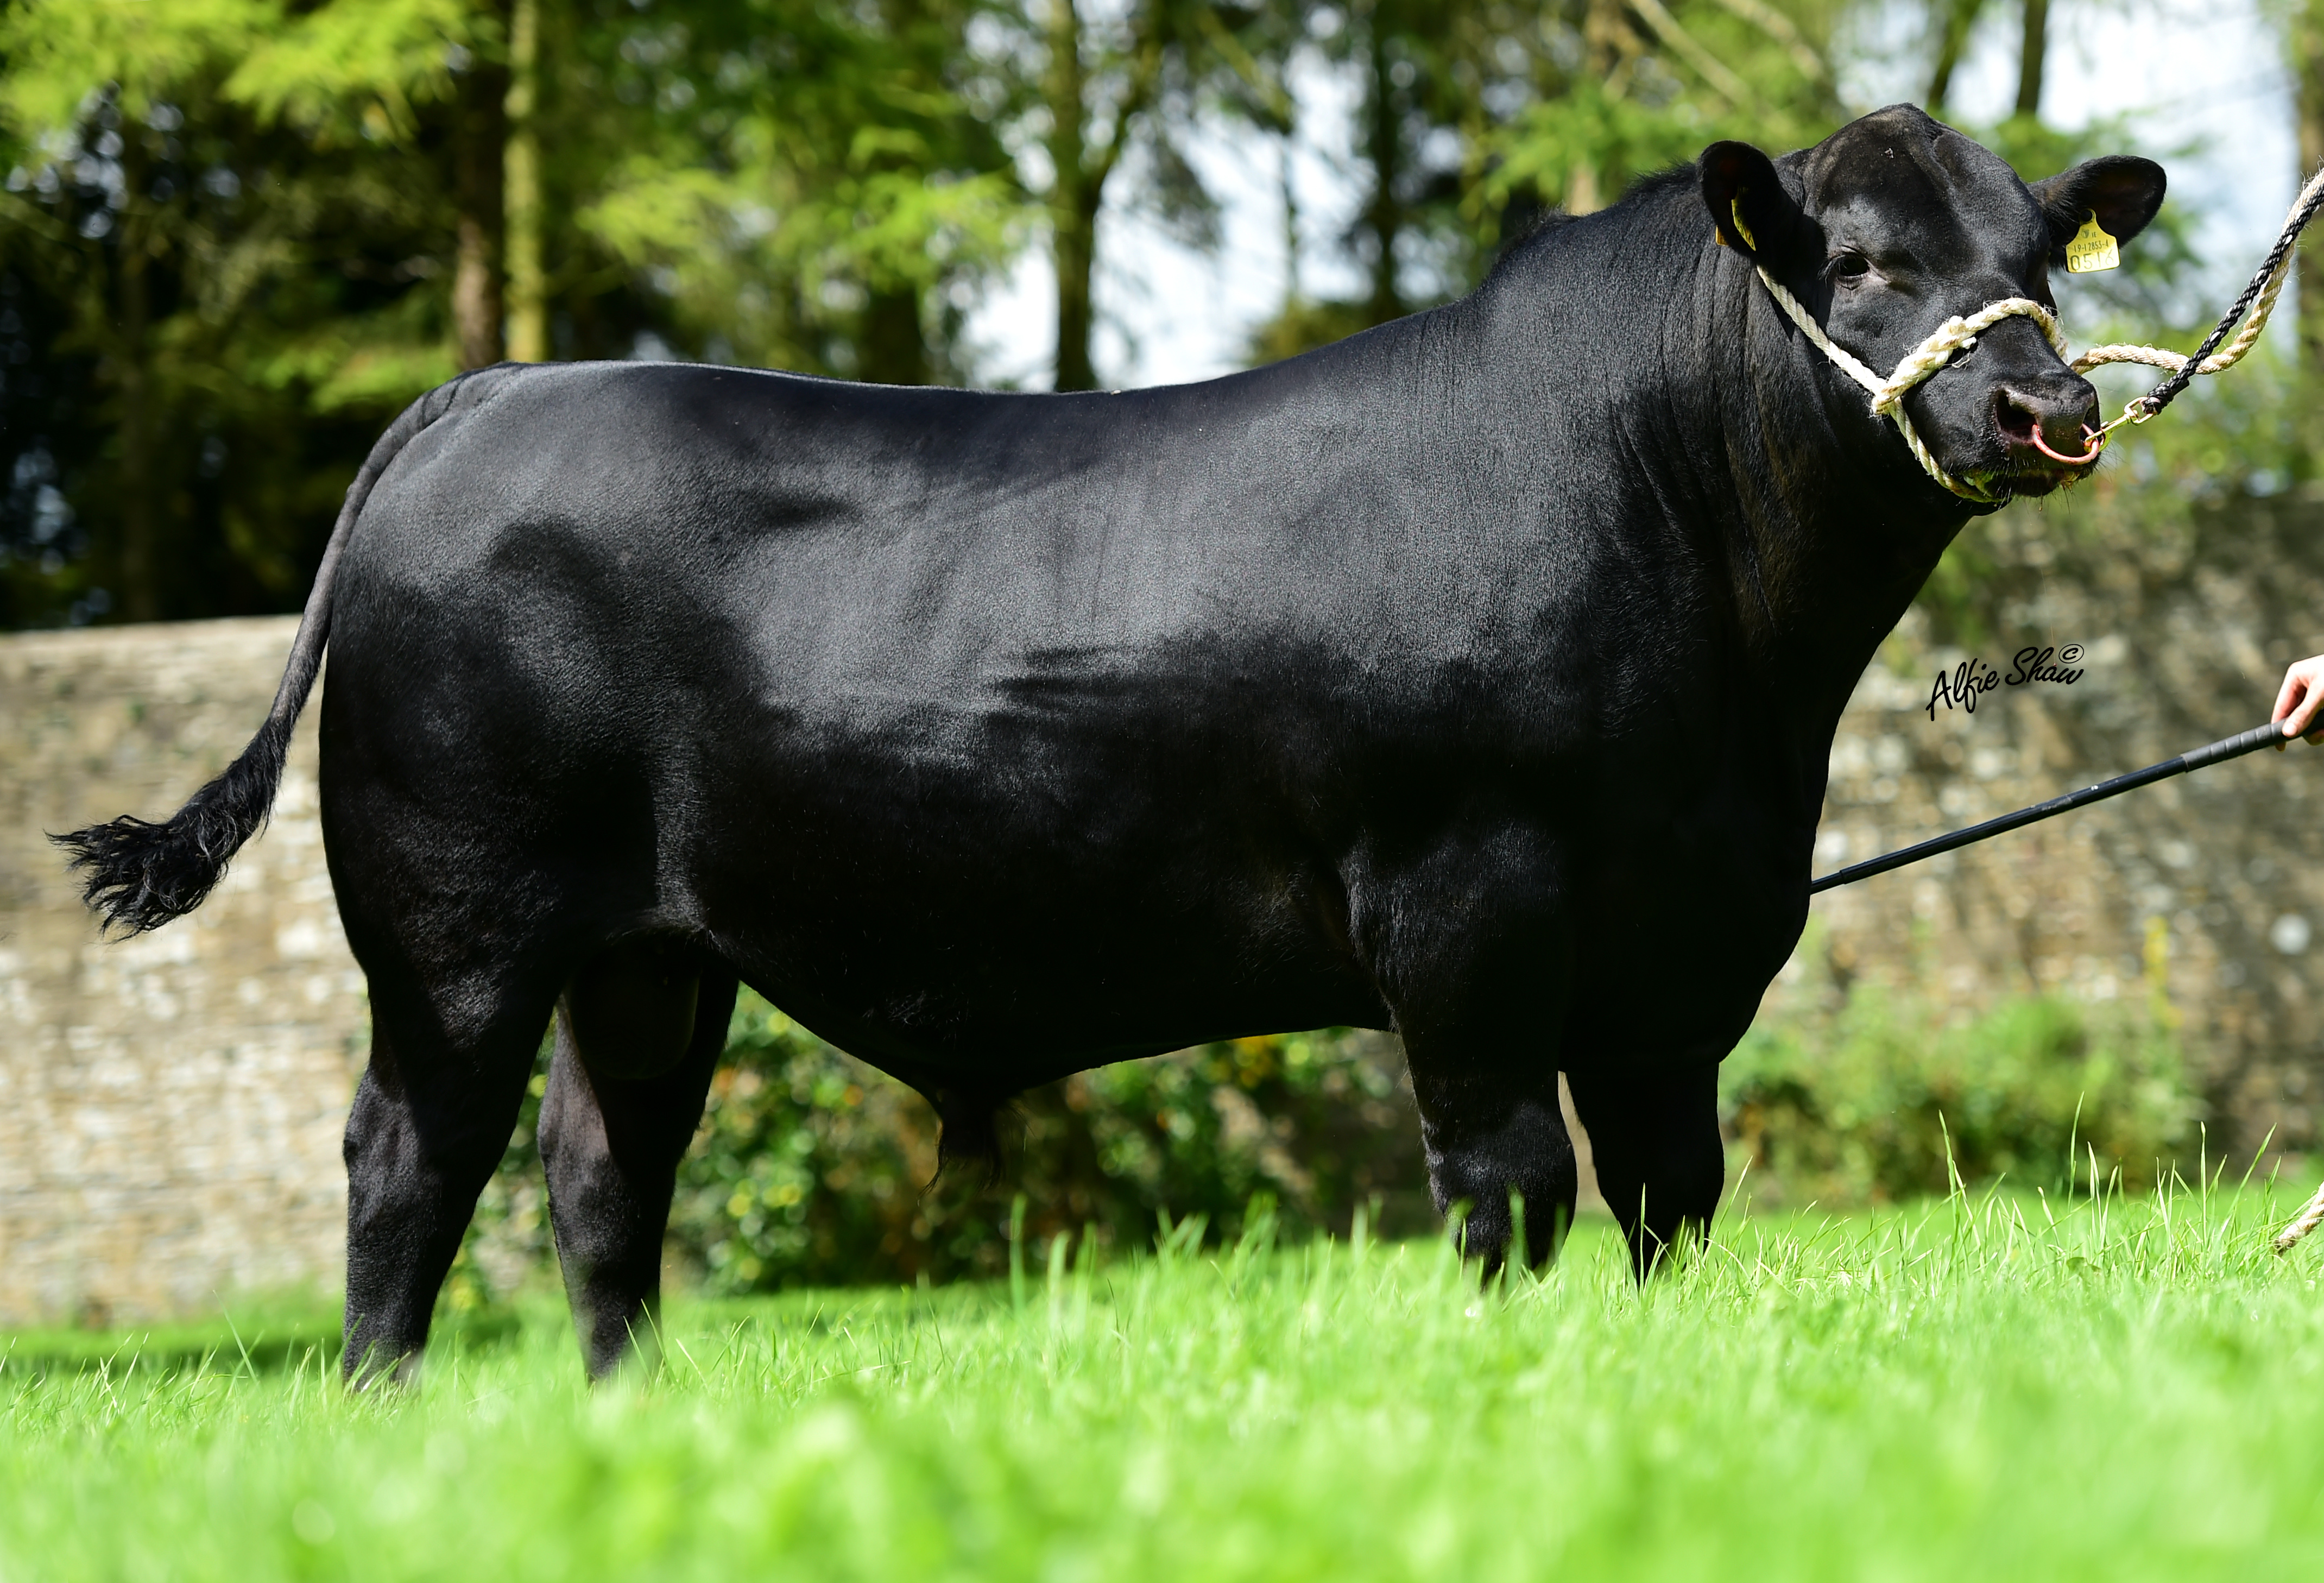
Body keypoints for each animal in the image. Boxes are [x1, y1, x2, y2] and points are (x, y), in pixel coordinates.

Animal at [60, 105, 2165, 1382]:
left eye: (2044, 258)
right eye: (1864, 264)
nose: (2046, 404)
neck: (1745, 702)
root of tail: (490, 392)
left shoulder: (1680, 951)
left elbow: (1673, 1190)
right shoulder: (1468, 908)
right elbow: (1507, 1178)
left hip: (648, 951)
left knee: (603, 1166)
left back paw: (622, 1410)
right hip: (455, 925)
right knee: (409, 1155)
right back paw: (388, 1410)